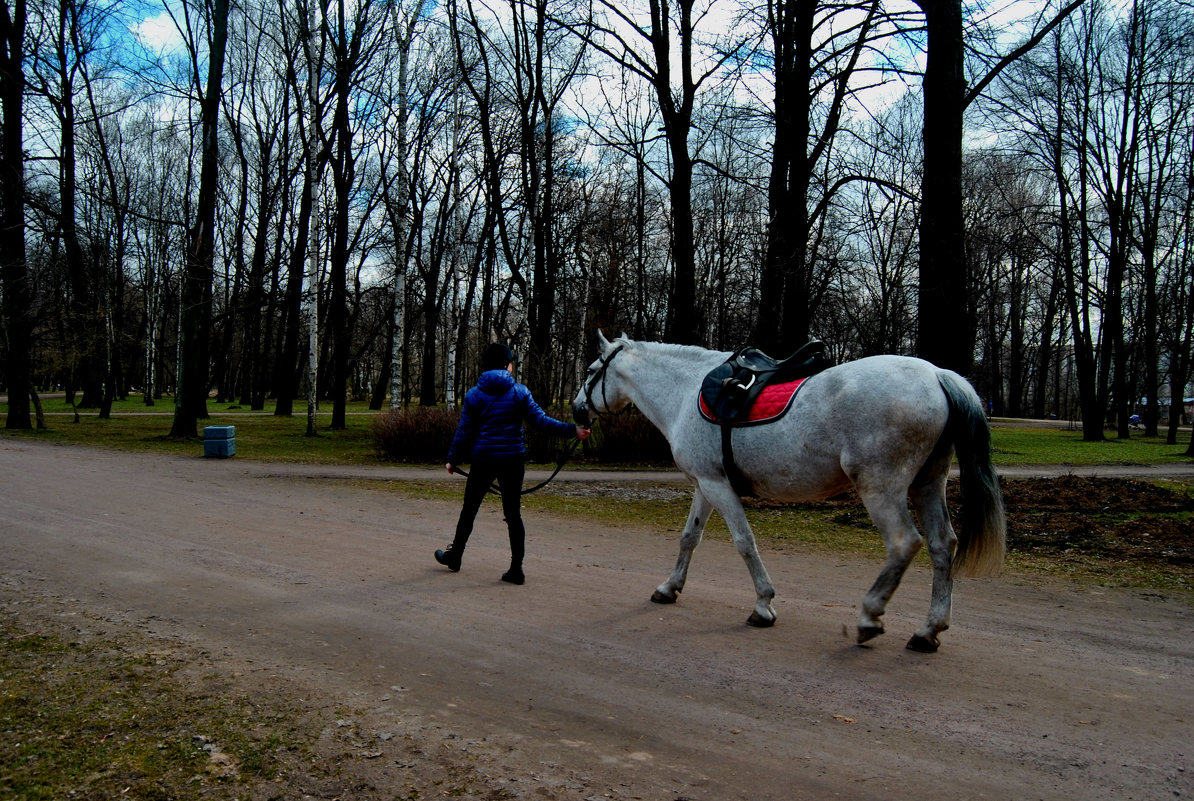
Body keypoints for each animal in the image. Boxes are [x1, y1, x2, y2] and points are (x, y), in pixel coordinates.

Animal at [573, 331, 1002, 649]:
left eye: (592, 369)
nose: (577, 410)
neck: (685, 392)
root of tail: (937, 375)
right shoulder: (706, 484)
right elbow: (689, 537)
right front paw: (669, 587)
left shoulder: (717, 486)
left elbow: (744, 542)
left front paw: (763, 605)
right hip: (928, 484)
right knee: (942, 545)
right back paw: (928, 631)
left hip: (881, 488)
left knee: (903, 543)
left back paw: (870, 616)